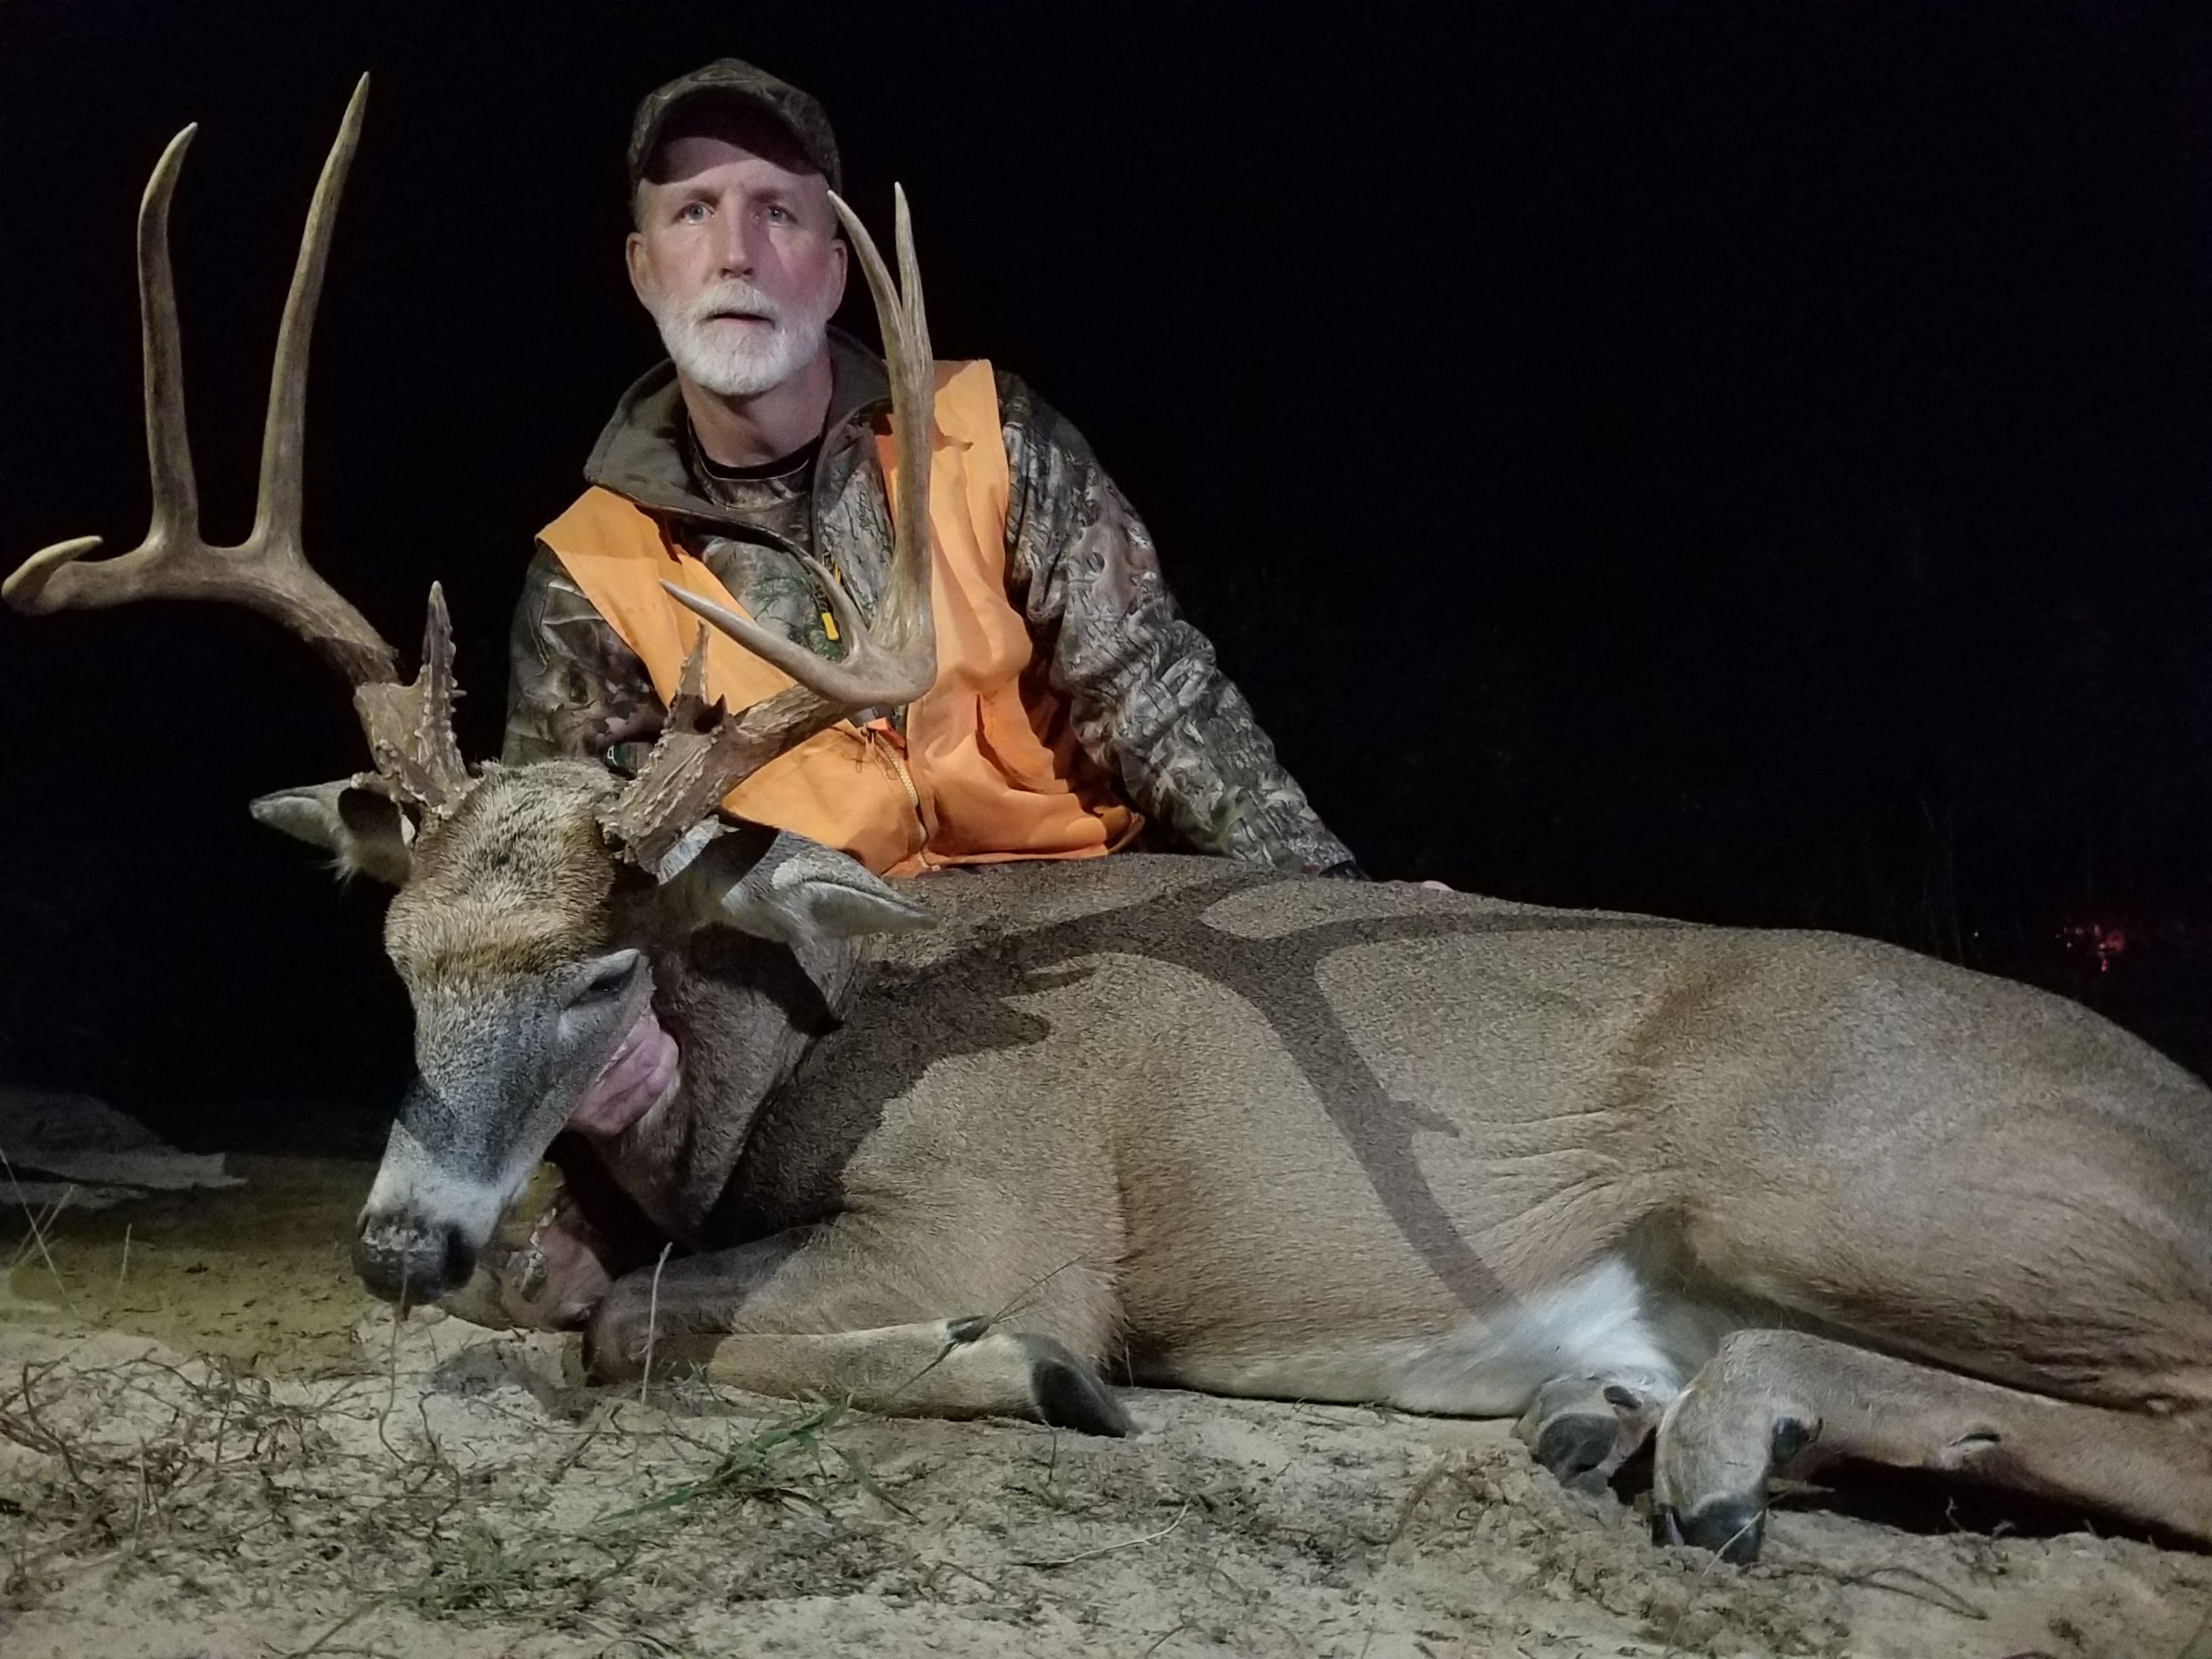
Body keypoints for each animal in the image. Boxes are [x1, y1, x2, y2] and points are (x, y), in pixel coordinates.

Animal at [12, 79, 2212, 1567]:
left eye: (606, 970)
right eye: (396, 960)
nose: (399, 1236)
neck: (781, 1056)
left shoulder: (1001, 1208)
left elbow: (639, 1325)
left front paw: (1023, 1375)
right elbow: (576, 1298)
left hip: (1845, 1184)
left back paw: (1724, 1439)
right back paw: (1624, 1422)